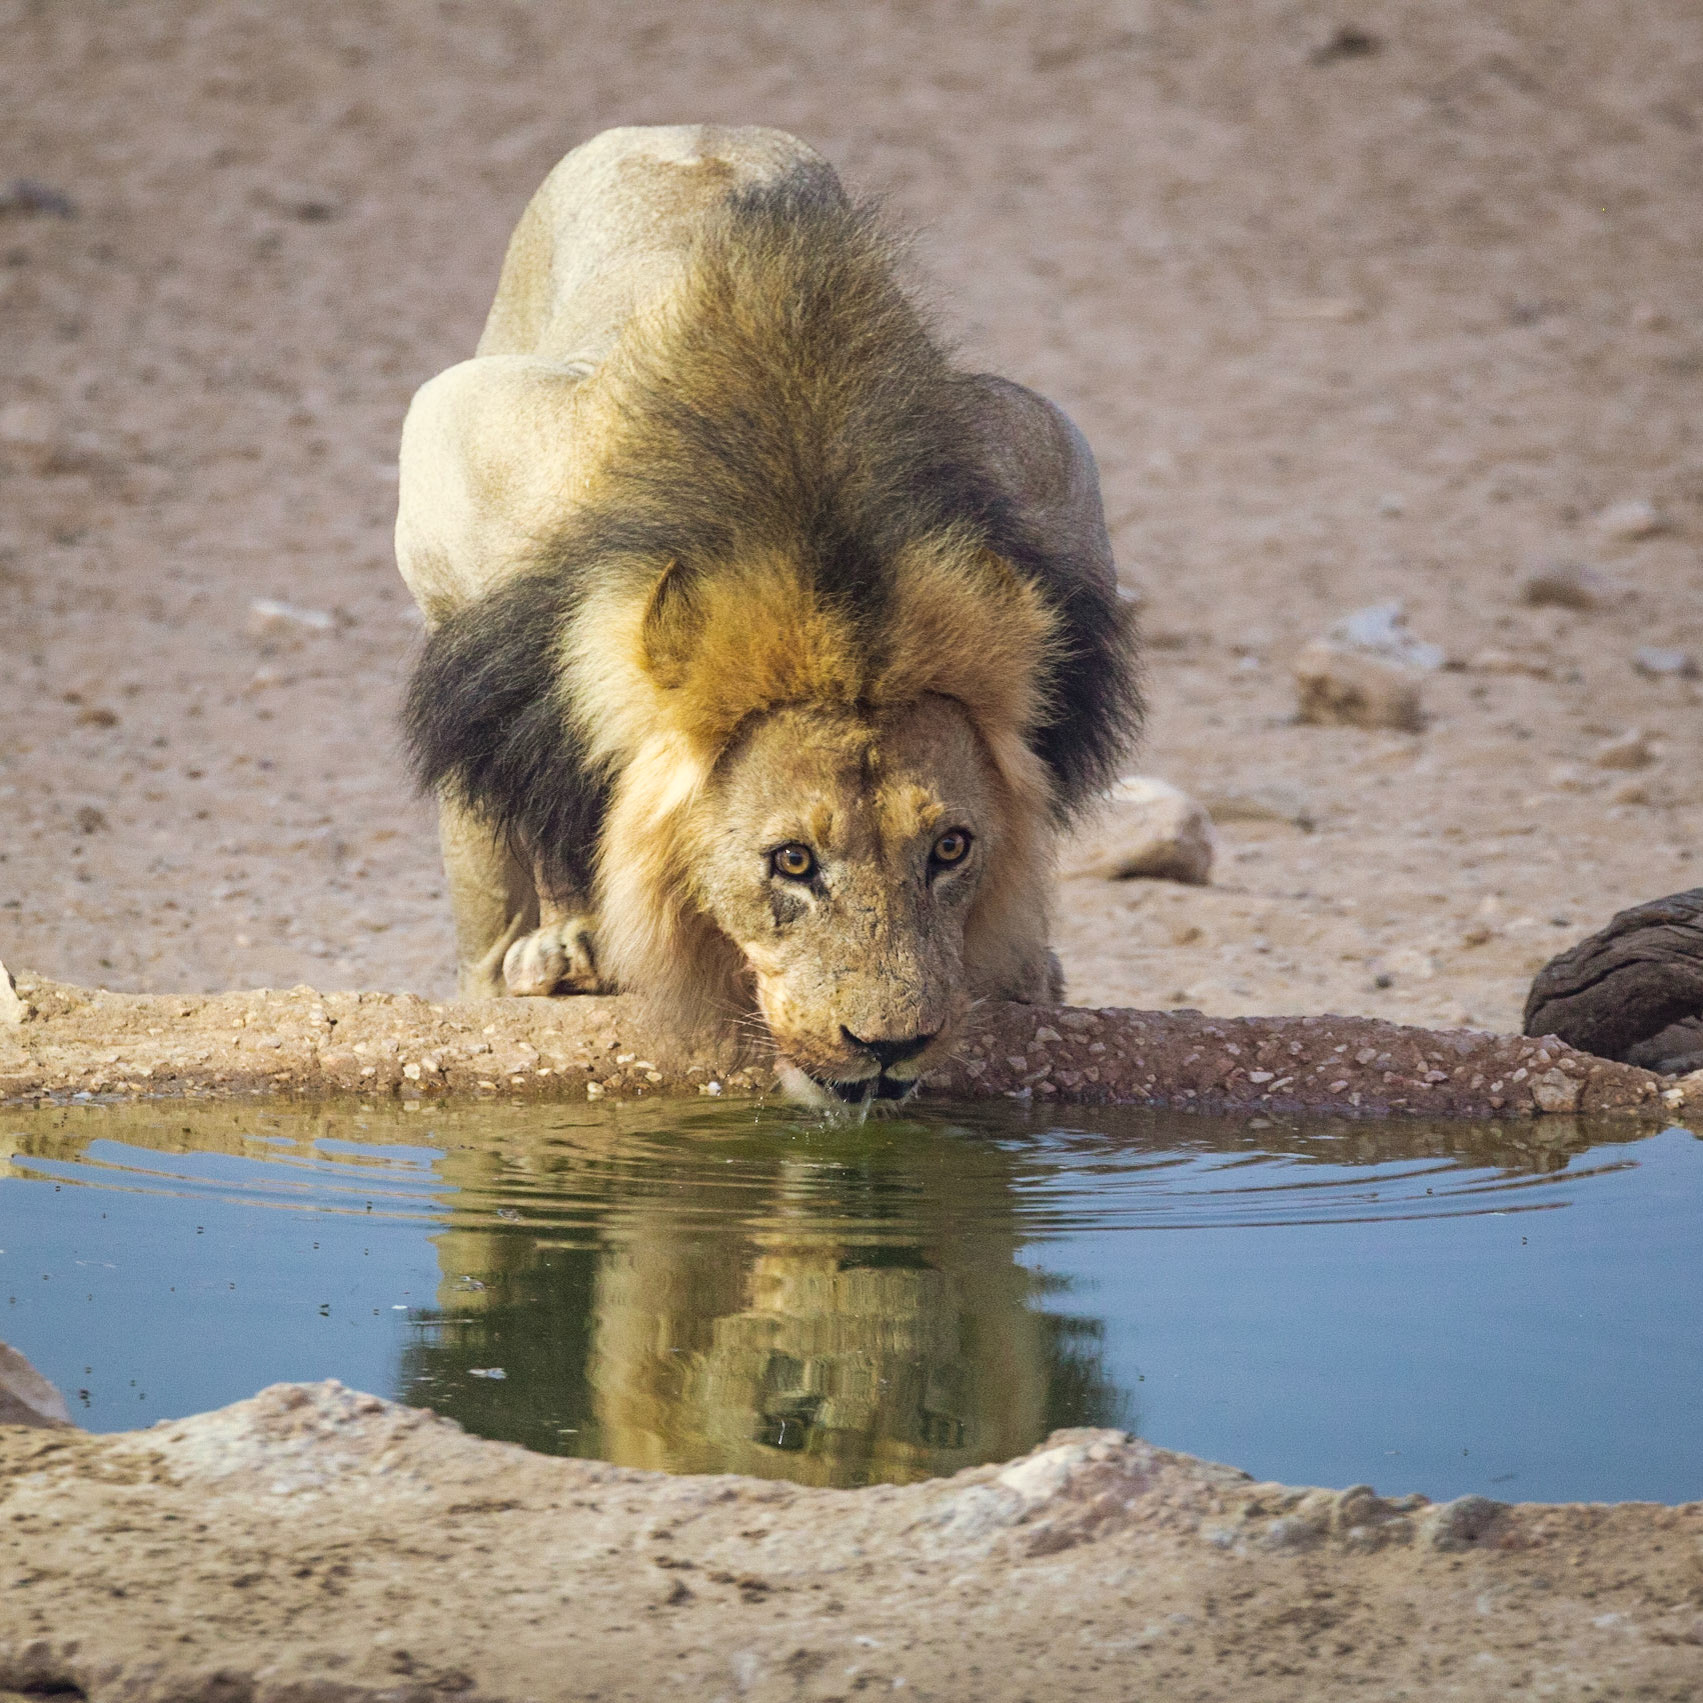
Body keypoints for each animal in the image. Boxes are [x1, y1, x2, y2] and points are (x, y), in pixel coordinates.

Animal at [397, 125, 1140, 1105]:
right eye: (791, 861)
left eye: (950, 846)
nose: (891, 1045)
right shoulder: (461, 486)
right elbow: (489, 868)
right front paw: (519, 967)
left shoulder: (1050, 459)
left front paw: (1018, 974)